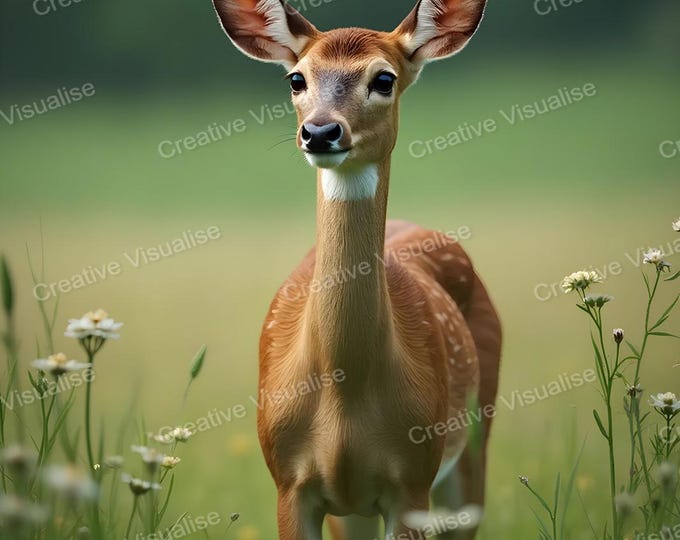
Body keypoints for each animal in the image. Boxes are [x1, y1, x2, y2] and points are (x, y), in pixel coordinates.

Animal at [210, 1, 502, 538]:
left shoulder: (411, 480)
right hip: (354, 511)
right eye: (297, 79)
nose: (321, 132)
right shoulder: (288, 483)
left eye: (383, 79)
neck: (343, 393)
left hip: (472, 443)